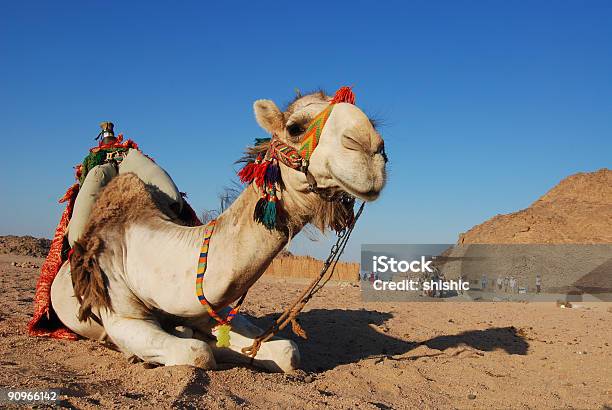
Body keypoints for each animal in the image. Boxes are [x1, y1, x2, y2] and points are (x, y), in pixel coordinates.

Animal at [49, 88, 388, 374]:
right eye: (295, 127)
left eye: (371, 121)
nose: (371, 148)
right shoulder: (120, 315)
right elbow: (198, 353)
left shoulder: (210, 311)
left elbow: (287, 351)